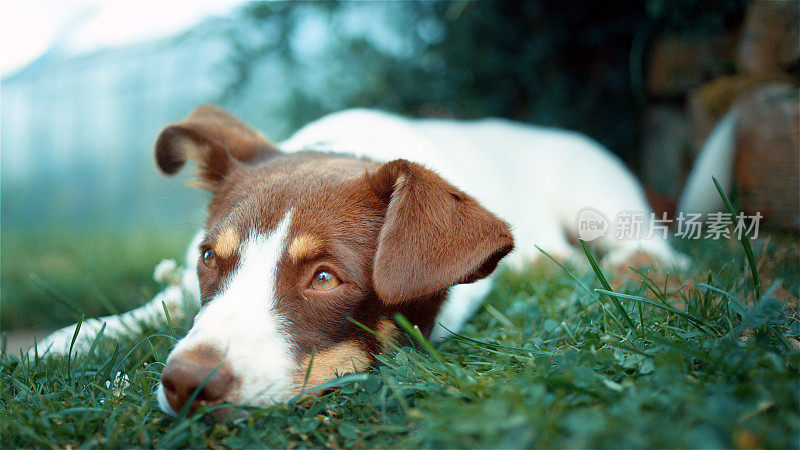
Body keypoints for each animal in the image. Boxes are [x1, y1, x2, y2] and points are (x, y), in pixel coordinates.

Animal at [34, 104, 688, 414]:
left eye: (325, 277)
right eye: (209, 259)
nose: (186, 385)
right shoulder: (183, 287)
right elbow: (150, 306)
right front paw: (63, 343)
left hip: (599, 202)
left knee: (655, 246)